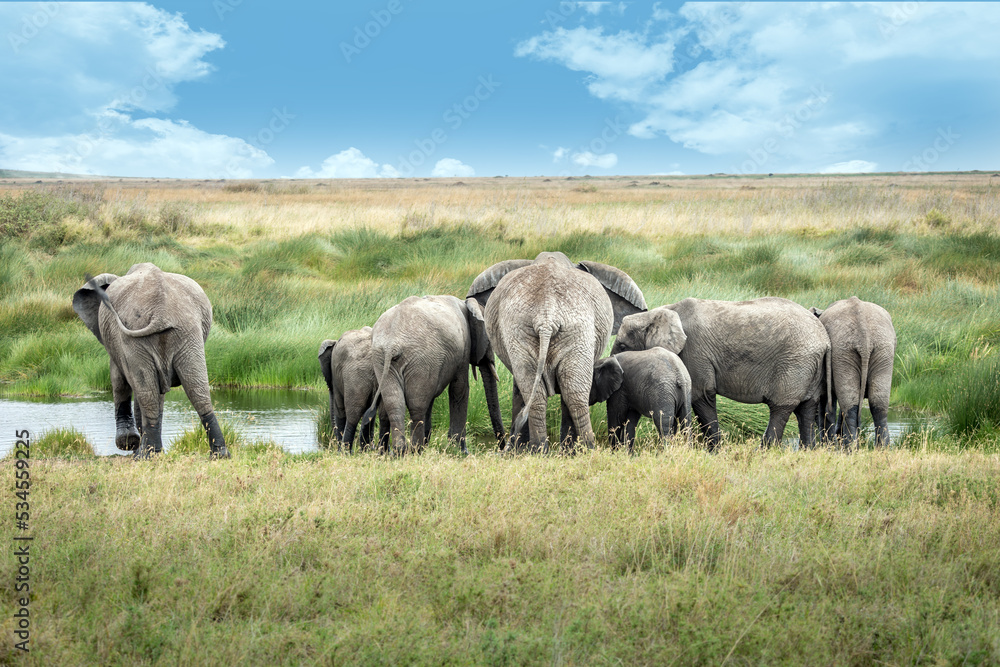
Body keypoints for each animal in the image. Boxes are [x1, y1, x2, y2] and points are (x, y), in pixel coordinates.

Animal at [72, 263, 229, 459]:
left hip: (136, 337)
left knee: (146, 392)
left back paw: (145, 455)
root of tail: (161, 312)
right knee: (197, 389)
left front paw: (129, 443)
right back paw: (219, 454)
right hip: (187, 333)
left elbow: (119, 380)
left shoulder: (118, 342)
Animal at [361, 295, 505, 455]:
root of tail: (392, 344)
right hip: (420, 357)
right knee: (417, 406)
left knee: (395, 402)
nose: (501, 449)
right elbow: (459, 389)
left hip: (381, 358)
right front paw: (461, 452)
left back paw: (399, 452)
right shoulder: (463, 346)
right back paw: (415, 451)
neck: (466, 303)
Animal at [467, 251, 647, 452]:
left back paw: (545, 451)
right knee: (573, 394)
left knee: (550, 394)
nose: (503, 446)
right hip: (564, 331)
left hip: (530, 331)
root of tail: (546, 315)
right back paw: (581, 450)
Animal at [613, 298, 831, 451]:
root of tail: (825, 339)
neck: (660, 313)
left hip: (795, 363)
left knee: (781, 408)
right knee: (806, 409)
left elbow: (701, 396)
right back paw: (806, 451)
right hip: (809, 366)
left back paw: (759, 454)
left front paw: (714, 453)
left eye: (623, 346)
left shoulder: (694, 351)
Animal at [810, 297, 896, 447]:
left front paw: (829, 445)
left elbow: (827, 405)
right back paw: (881, 448)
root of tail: (864, 335)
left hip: (844, 352)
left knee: (850, 408)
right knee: (878, 405)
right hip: (882, 350)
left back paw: (850, 448)